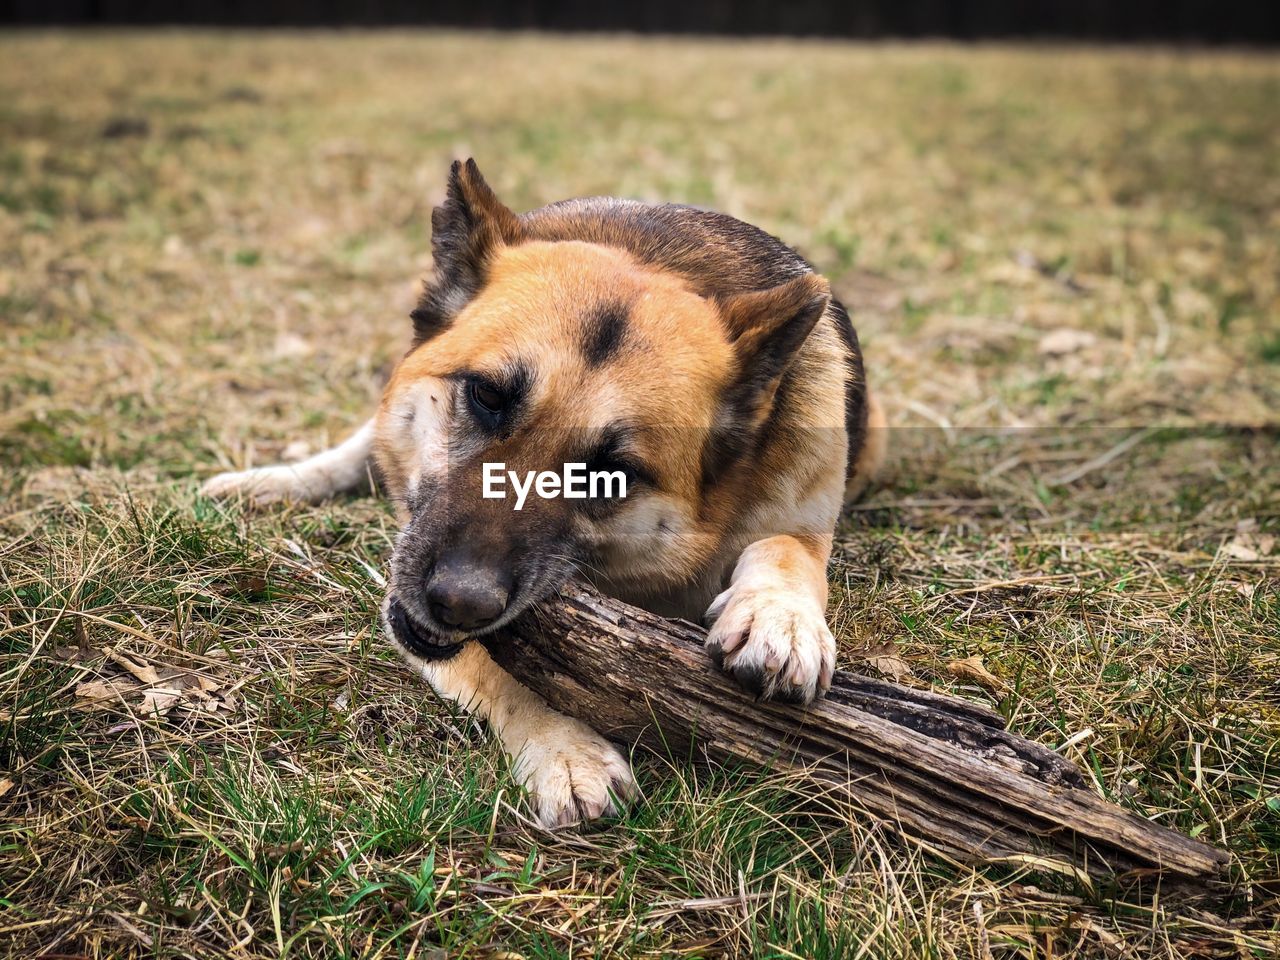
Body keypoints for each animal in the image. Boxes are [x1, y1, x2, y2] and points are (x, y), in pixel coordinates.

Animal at [204, 160, 885, 829]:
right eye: (486, 395)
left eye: (611, 470)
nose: (460, 603)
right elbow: (504, 668)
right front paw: (566, 749)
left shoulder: (802, 510)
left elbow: (786, 547)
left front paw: (779, 615)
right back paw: (271, 482)